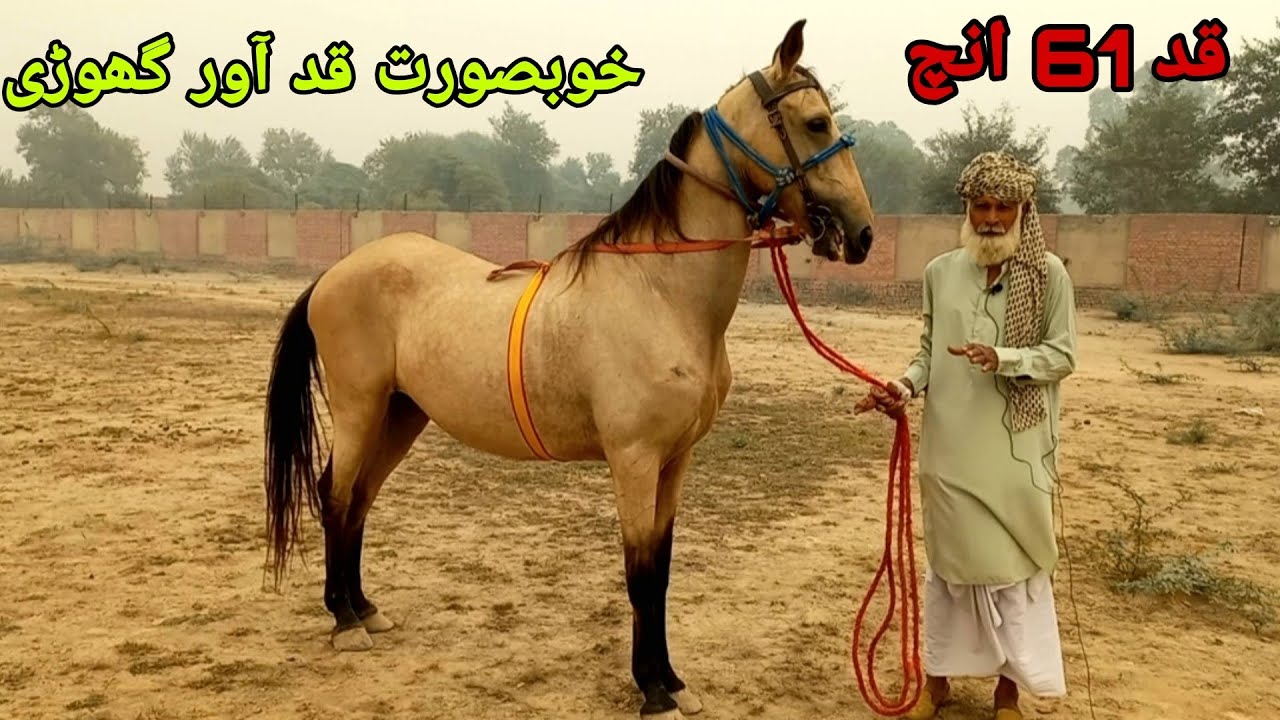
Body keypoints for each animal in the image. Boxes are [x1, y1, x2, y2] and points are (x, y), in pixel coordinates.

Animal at [262, 18, 876, 719]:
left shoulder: (675, 460)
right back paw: (343, 621)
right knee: (336, 495)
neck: (659, 291)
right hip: (360, 407)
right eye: (816, 123)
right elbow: (640, 574)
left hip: (401, 415)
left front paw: (671, 680)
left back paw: (364, 609)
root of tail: (336, 273)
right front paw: (652, 690)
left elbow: (662, 570)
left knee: (358, 498)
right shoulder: (634, 459)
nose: (861, 233)